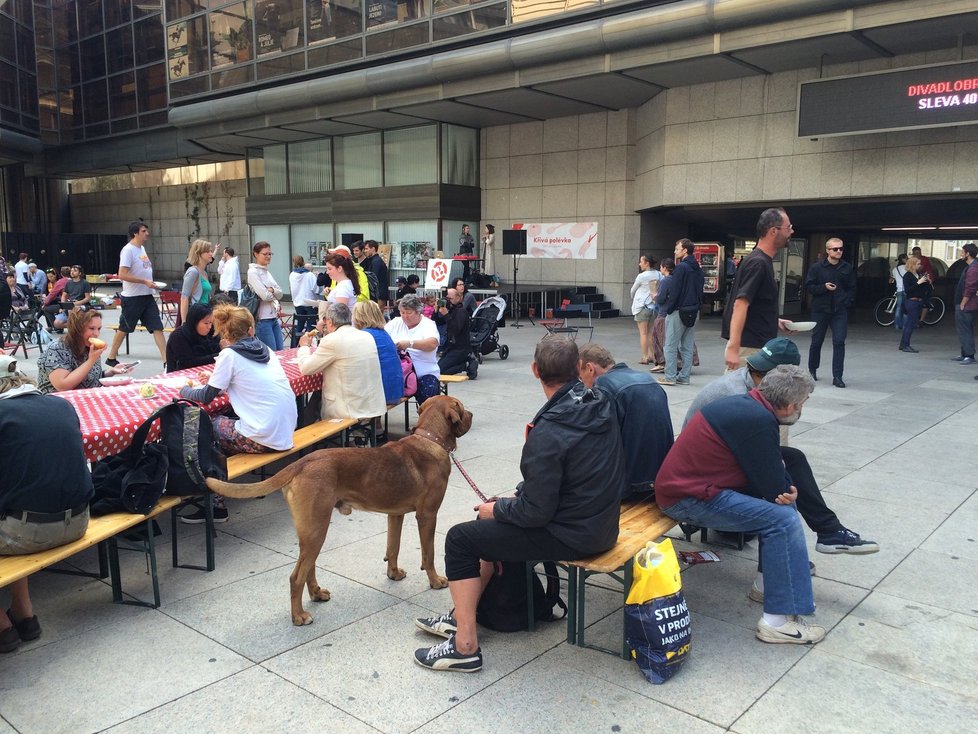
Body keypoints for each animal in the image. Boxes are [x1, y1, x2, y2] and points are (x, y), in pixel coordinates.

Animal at [204, 396, 470, 628]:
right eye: (461, 406)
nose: (472, 415)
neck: (431, 439)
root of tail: (300, 462)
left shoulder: (395, 514)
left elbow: (392, 548)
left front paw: (393, 574)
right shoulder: (427, 515)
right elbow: (429, 554)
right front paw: (435, 581)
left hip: (312, 530)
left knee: (308, 566)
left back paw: (316, 594)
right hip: (316, 529)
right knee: (296, 576)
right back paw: (299, 616)